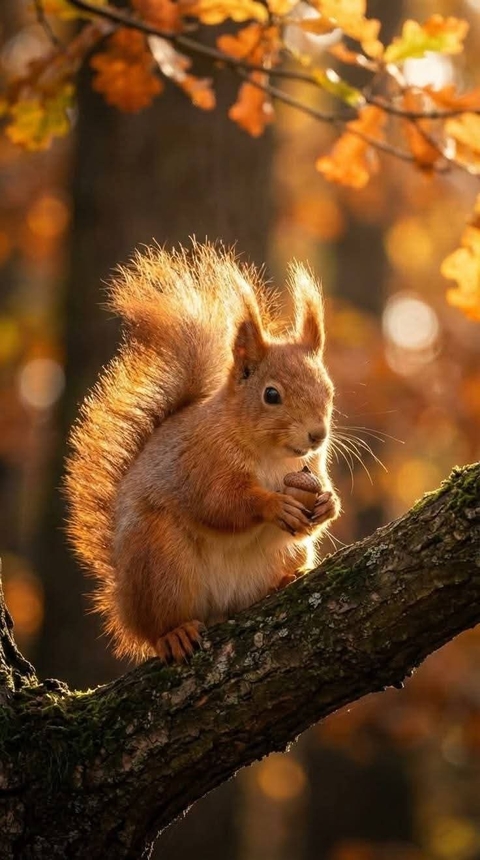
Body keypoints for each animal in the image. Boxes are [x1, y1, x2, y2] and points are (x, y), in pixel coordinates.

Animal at [65, 243, 340, 663]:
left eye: (329, 388)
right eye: (271, 395)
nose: (317, 435)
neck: (273, 456)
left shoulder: (313, 465)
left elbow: (319, 495)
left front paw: (327, 503)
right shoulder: (202, 461)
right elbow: (221, 502)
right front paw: (274, 505)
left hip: (286, 554)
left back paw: (285, 580)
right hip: (161, 561)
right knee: (158, 626)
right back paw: (173, 634)